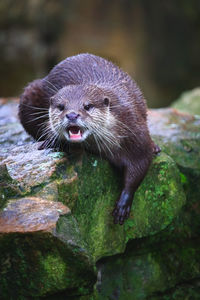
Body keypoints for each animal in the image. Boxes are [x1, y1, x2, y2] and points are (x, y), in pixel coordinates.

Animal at [18, 52, 159, 224]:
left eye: (87, 106)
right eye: (61, 106)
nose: (72, 115)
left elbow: (140, 165)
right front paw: (53, 139)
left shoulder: (136, 134)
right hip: (30, 93)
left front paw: (123, 204)